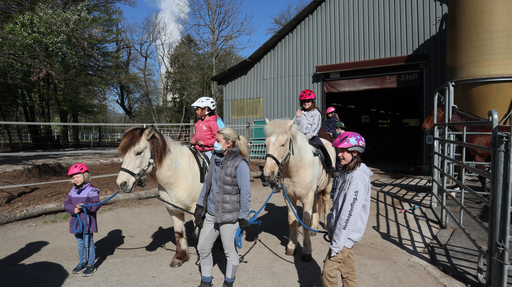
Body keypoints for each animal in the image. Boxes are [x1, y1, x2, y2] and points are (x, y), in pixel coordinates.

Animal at [115, 127, 202, 268]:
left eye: (138, 152)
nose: (122, 183)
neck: (179, 174)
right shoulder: (173, 209)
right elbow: (179, 233)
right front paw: (179, 257)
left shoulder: (197, 212)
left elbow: (200, 235)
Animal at [262, 118, 334, 262]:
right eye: (266, 143)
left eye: (283, 144)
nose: (268, 173)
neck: (296, 170)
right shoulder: (289, 198)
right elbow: (292, 220)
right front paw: (291, 246)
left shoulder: (307, 198)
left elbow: (305, 220)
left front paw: (307, 251)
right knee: (316, 206)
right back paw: (314, 228)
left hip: (327, 188)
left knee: (326, 203)